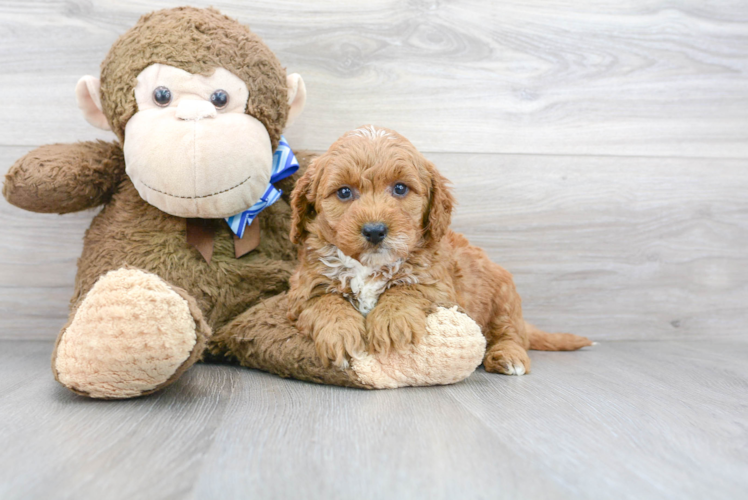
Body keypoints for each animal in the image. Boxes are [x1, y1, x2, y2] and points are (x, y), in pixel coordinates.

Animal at [286, 127, 592, 374]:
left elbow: (406, 288)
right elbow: (325, 301)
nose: (374, 230)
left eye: (400, 188)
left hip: (504, 298)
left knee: (511, 335)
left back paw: (508, 357)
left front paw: (393, 322)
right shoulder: (302, 290)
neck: (369, 266)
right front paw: (340, 332)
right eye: (344, 192)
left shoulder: (439, 287)